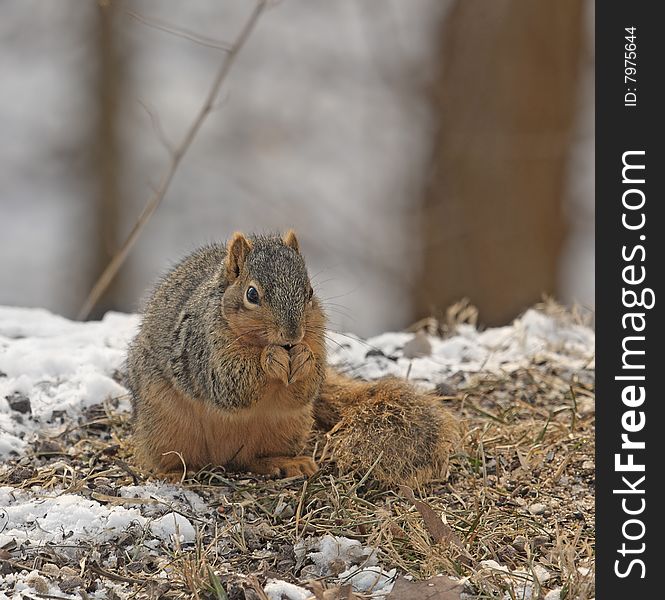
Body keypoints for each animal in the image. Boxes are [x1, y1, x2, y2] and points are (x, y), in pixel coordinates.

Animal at [124, 230, 460, 488]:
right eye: (252, 295)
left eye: (309, 292)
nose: (292, 335)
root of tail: (222, 458)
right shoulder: (201, 348)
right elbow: (228, 383)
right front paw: (270, 358)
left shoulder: (316, 336)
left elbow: (306, 386)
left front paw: (304, 358)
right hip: (165, 427)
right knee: (173, 457)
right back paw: (174, 473)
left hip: (288, 426)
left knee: (253, 459)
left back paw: (286, 463)